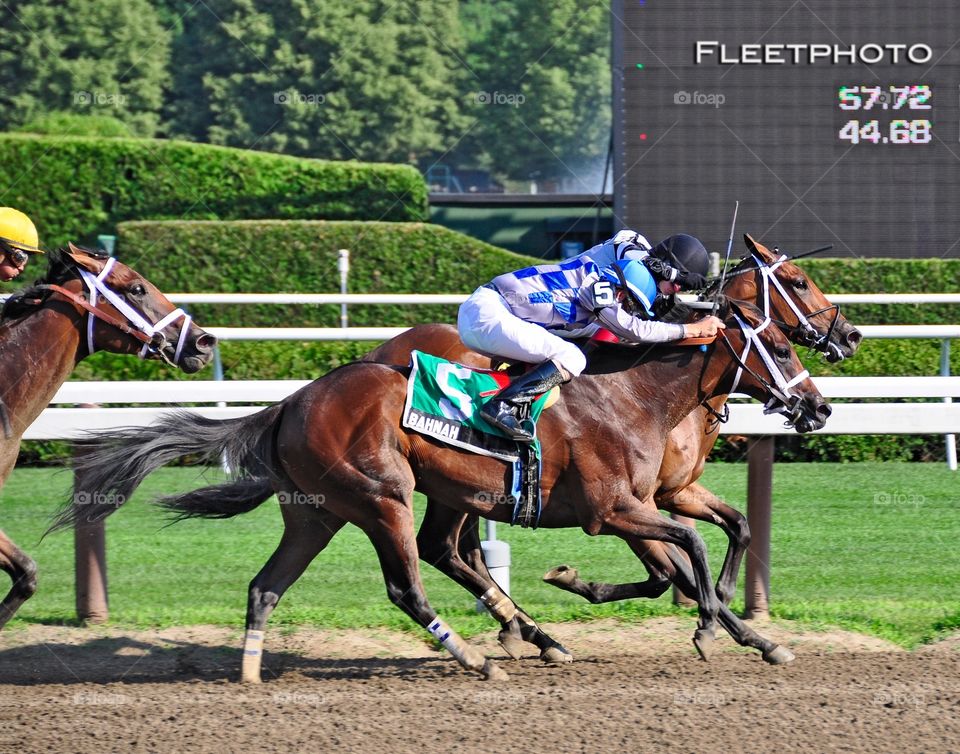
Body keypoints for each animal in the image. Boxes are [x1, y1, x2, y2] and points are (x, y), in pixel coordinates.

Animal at [56, 296, 828, 680]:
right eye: (779, 343)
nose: (819, 407)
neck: (632, 394)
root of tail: (294, 400)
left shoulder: (657, 498)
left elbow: (725, 533)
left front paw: (752, 634)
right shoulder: (615, 509)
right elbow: (686, 552)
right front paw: (711, 626)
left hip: (324, 512)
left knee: (270, 584)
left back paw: (249, 673)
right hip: (382, 497)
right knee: (410, 581)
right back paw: (478, 654)